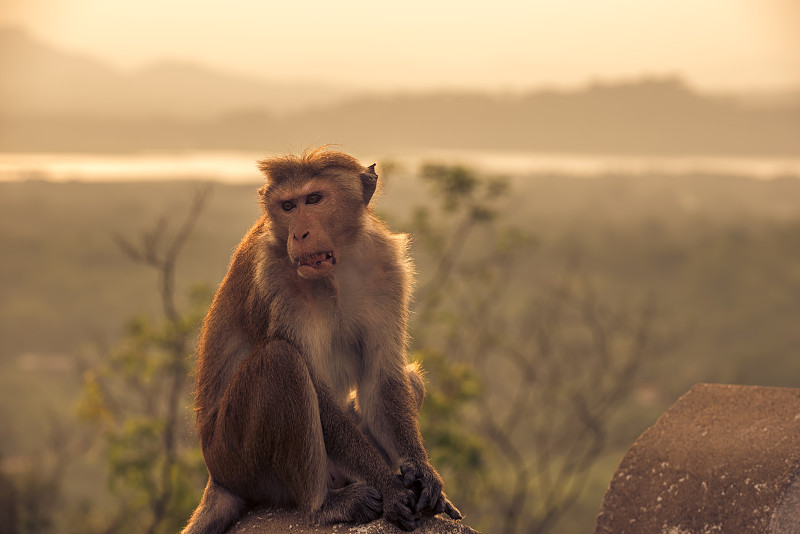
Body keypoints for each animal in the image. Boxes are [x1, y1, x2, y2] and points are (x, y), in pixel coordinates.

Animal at [180, 148, 456, 534]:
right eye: (287, 206)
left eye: (313, 199)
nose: (300, 234)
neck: (336, 270)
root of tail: (216, 478)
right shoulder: (273, 278)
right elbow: (315, 388)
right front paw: (389, 486)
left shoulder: (388, 268)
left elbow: (383, 375)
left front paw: (422, 473)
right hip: (238, 462)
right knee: (280, 361)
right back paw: (323, 506)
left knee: (407, 378)